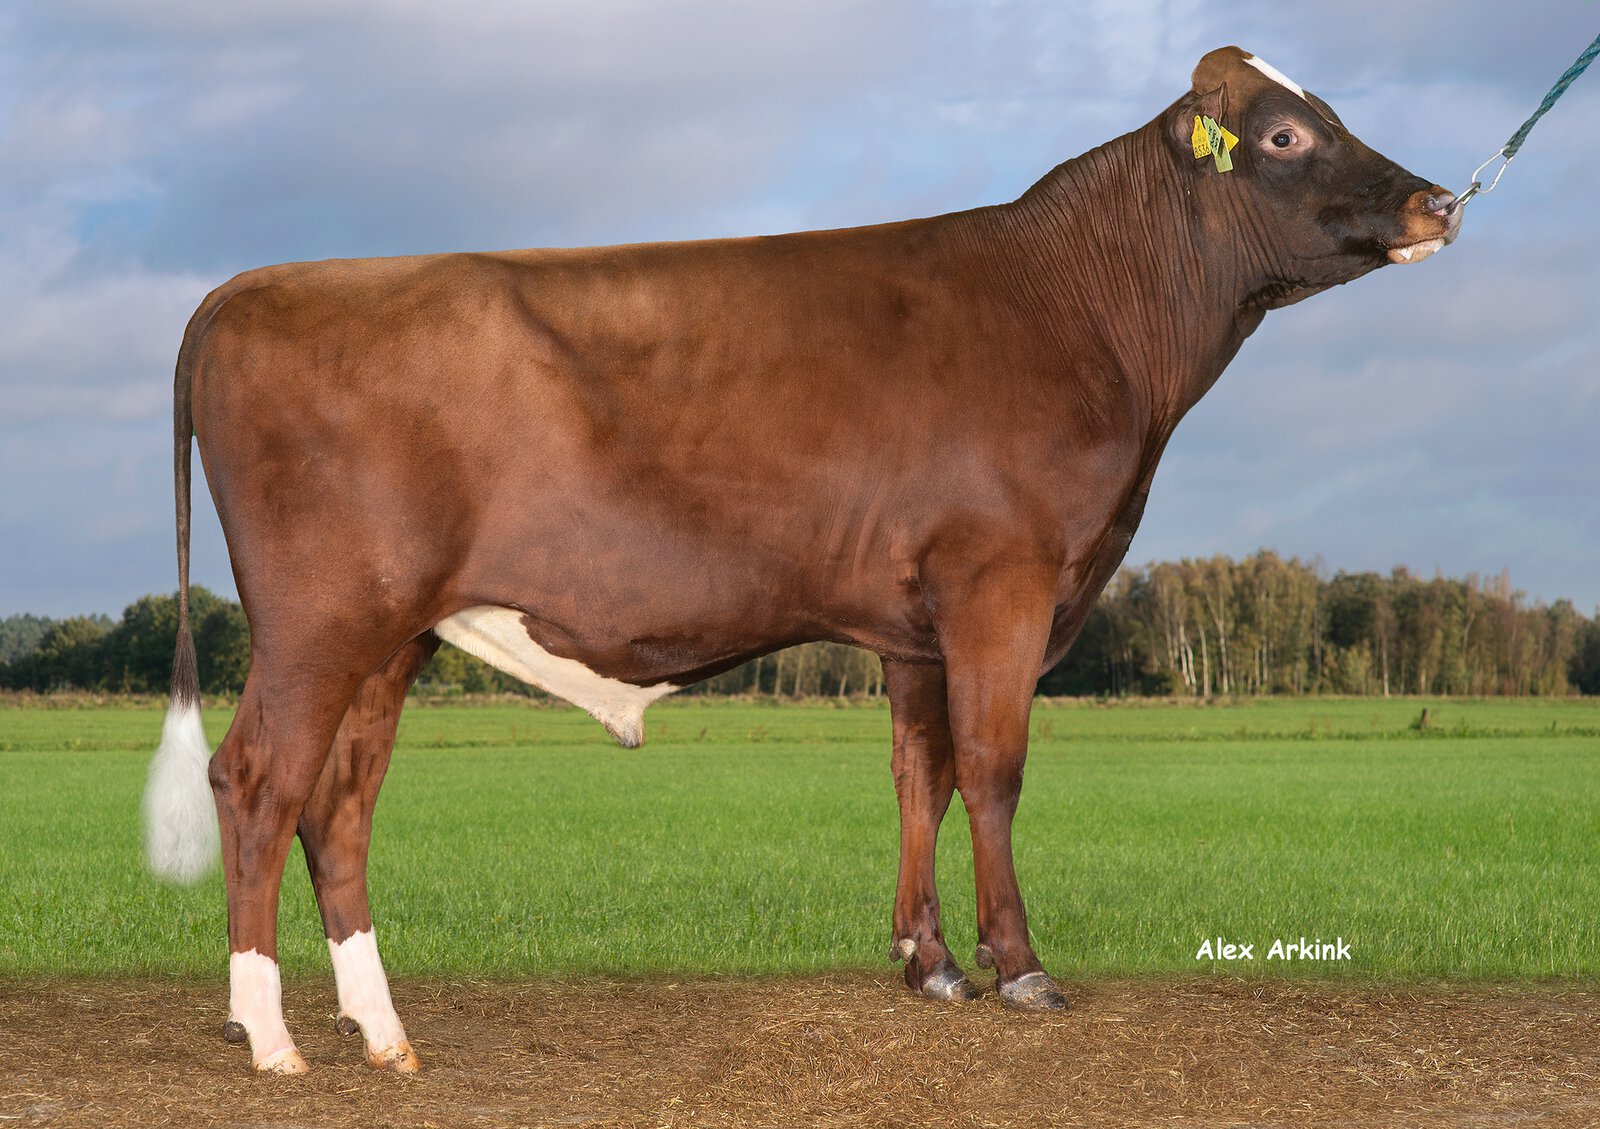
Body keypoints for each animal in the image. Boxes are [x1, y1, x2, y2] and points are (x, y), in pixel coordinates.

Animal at [144, 46, 1461, 1074]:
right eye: (1286, 133)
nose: (1440, 201)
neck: (1082, 312)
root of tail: (249, 286)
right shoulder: (1002, 579)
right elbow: (995, 768)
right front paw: (1020, 966)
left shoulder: (915, 619)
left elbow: (921, 774)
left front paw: (929, 962)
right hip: (319, 620)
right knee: (257, 782)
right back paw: (270, 1036)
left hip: (390, 633)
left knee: (338, 806)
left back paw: (380, 1031)